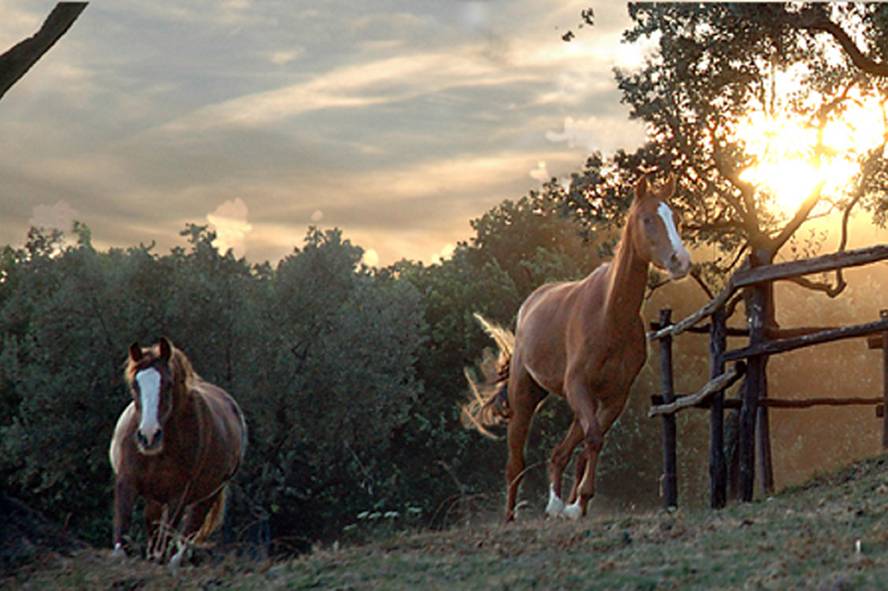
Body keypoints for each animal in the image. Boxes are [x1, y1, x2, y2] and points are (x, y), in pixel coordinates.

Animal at [112, 338, 250, 564]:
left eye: (168, 384)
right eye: (135, 384)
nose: (149, 436)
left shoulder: (179, 495)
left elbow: (167, 539)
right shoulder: (127, 482)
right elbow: (122, 532)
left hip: (209, 494)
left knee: (188, 532)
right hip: (156, 497)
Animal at [464, 172, 692, 524]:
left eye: (675, 218)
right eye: (648, 219)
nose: (680, 261)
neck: (609, 315)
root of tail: (529, 305)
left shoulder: (614, 396)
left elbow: (590, 445)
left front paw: (576, 505)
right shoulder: (578, 386)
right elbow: (593, 440)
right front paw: (574, 503)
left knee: (560, 452)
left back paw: (556, 503)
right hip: (525, 395)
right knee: (516, 461)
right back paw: (512, 516)